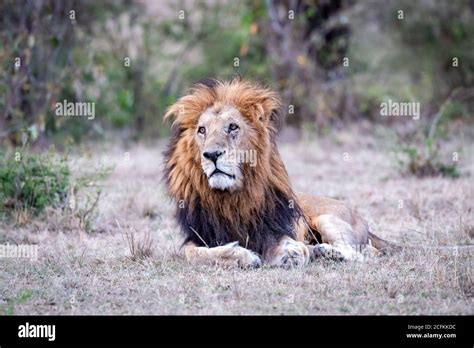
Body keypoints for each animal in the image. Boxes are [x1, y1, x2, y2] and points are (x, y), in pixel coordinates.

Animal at [163, 79, 396, 268]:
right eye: (202, 130)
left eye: (232, 127)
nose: (211, 155)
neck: (230, 199)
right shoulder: (197, 237)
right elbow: (195, 254)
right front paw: (240, 256)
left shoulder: (273, 227)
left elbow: (282, 243)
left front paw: (290, 253)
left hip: (328, 218)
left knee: (362, 253)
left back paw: (327, 253)